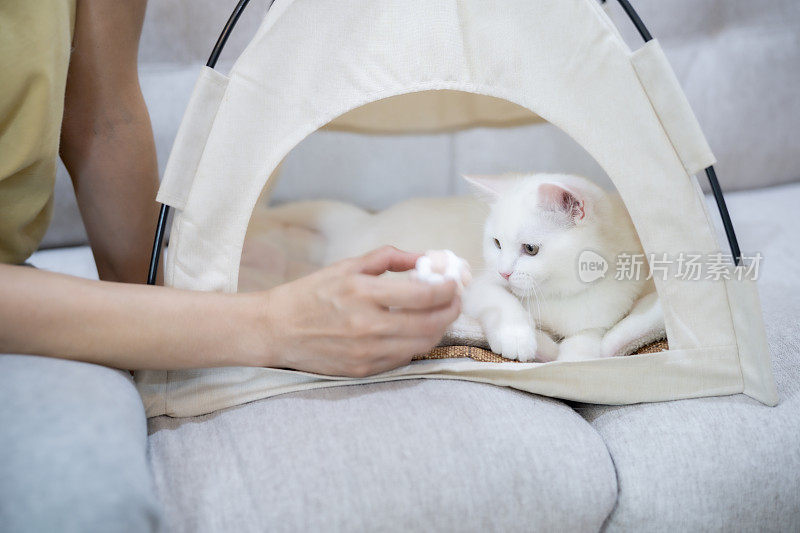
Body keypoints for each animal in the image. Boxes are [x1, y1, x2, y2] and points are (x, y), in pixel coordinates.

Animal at [462, 174, 648, 362]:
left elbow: (584, 342)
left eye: (530, 248)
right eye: (497, 243)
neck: (557, 295)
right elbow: (498, 298)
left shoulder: (603, 316)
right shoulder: (478, 285)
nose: (503, 273)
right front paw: (515, 335)